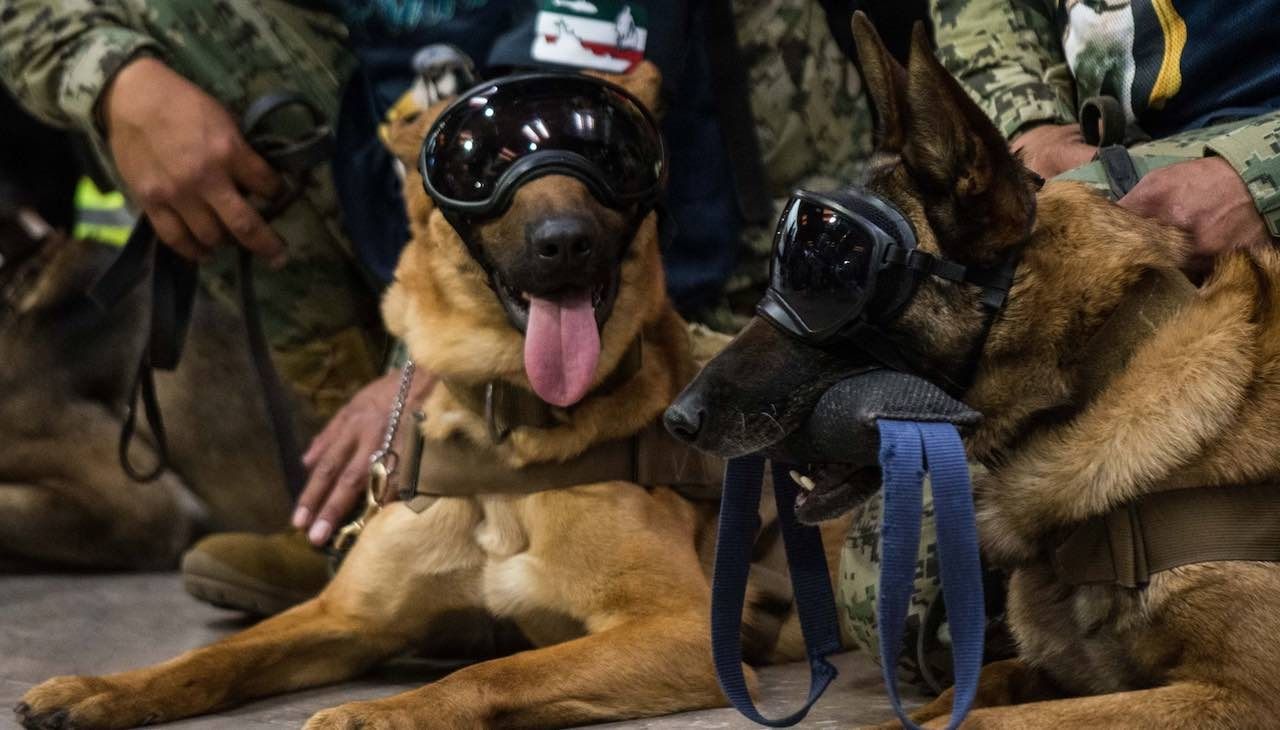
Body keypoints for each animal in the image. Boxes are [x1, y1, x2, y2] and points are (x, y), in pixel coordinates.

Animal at [17, 61, 849, 727]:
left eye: (608, 153)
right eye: (481, 161)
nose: (564, 242)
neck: (507, 437)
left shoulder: (680, 632)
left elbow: (496, 668)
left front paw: (377, 714)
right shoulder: (345, 614)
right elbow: (212, 661)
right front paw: (104, 687)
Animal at [665, 14, 1280, 722]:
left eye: (832, 273)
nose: (676, 419)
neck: (1098, 369)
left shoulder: (1237, 695)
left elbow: (990, 718)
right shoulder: (1052, 674)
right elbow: (968, 692)